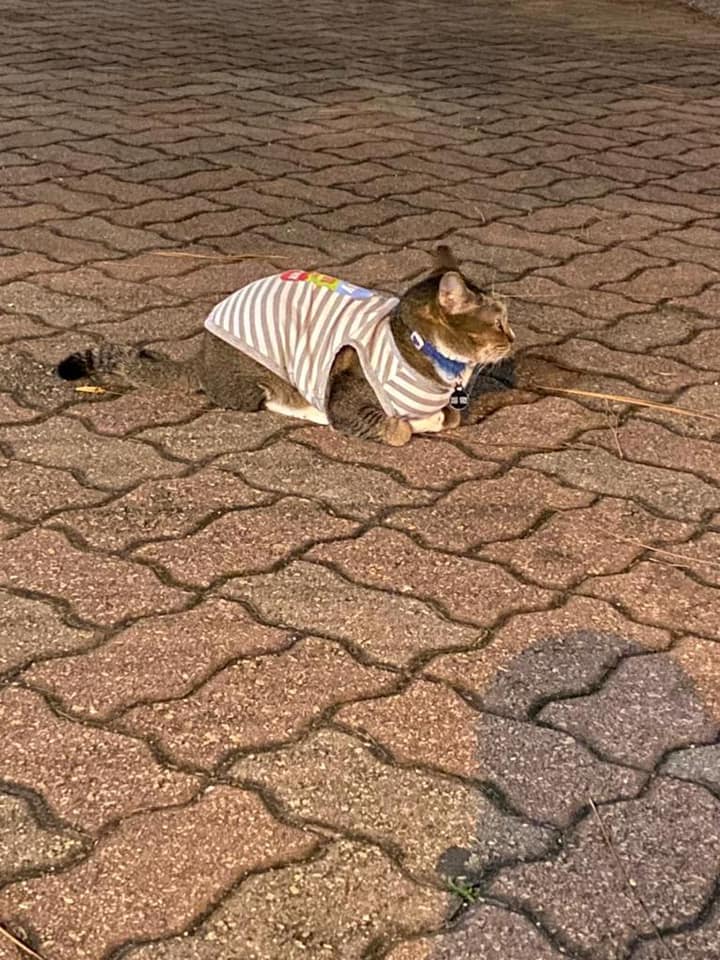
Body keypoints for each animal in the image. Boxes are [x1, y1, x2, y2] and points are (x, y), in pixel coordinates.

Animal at [59, 246, 516, 444]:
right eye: (498, 322)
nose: (513, 337)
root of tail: (203, 354)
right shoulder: (347, 401)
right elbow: (398, 429)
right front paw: (413, 424)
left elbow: (449, 418)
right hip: (252, 382)